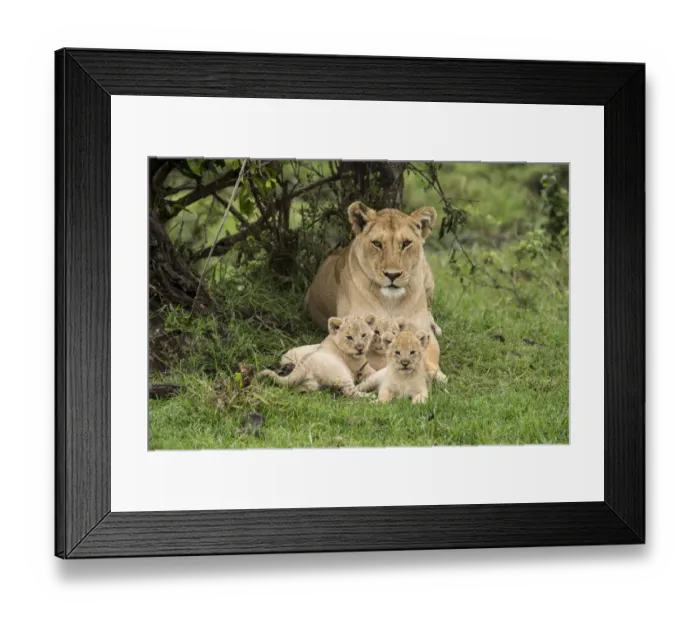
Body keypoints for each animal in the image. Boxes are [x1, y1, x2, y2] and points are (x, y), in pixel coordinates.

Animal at [304, 201, 446, 382]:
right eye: (377, 244)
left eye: (406, 243)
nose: (392, 274)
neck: (391, 302)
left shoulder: (423, 331)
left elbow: (429, 352)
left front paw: (436, 374)